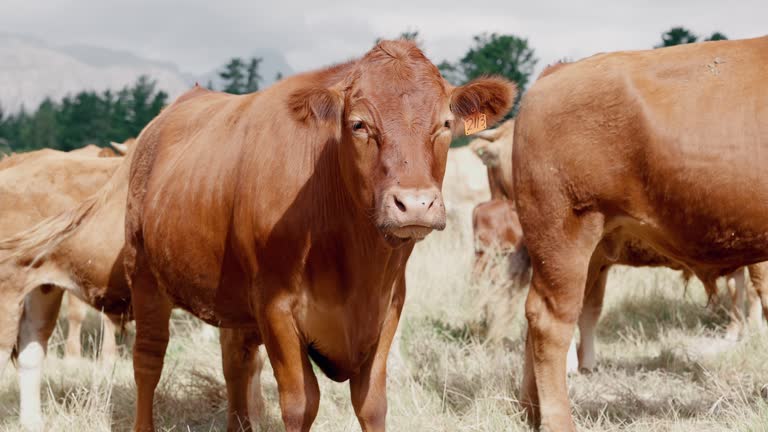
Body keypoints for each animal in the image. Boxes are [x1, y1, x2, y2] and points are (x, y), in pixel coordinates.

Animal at [121, 39, 516, 428]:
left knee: (235, 362)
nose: (415, 203)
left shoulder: (389, 304)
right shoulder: (275, 306)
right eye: (359, 125)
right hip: (144, 275)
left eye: (446, 123)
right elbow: (301, 404)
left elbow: (372, 403)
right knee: (148, 361)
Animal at [512, 36, 768, 428]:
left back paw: (530, 411)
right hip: (563, 235)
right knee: (549, 322)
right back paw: (557, 421)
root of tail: (558, 72)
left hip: (586, 250)